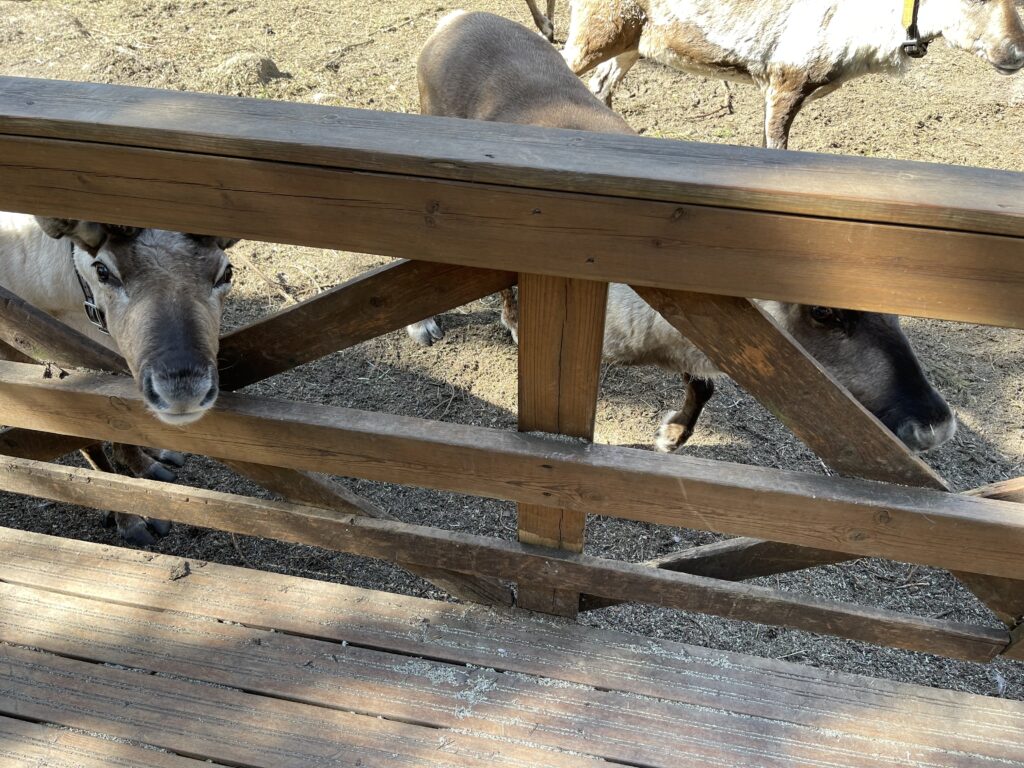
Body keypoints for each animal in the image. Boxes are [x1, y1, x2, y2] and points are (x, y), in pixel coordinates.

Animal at [0, 213, 238, 544]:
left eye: (226, 272)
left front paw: (144, 465)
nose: (182, 391)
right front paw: (129, 520)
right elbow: (88, 441)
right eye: (103, 270)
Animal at [407, 11, 957, 454]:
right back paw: (430, 324)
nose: (935, 426)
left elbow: (704, 386)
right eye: (823, 310)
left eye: (899, 301)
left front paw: (673, 434)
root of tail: (455, 19)